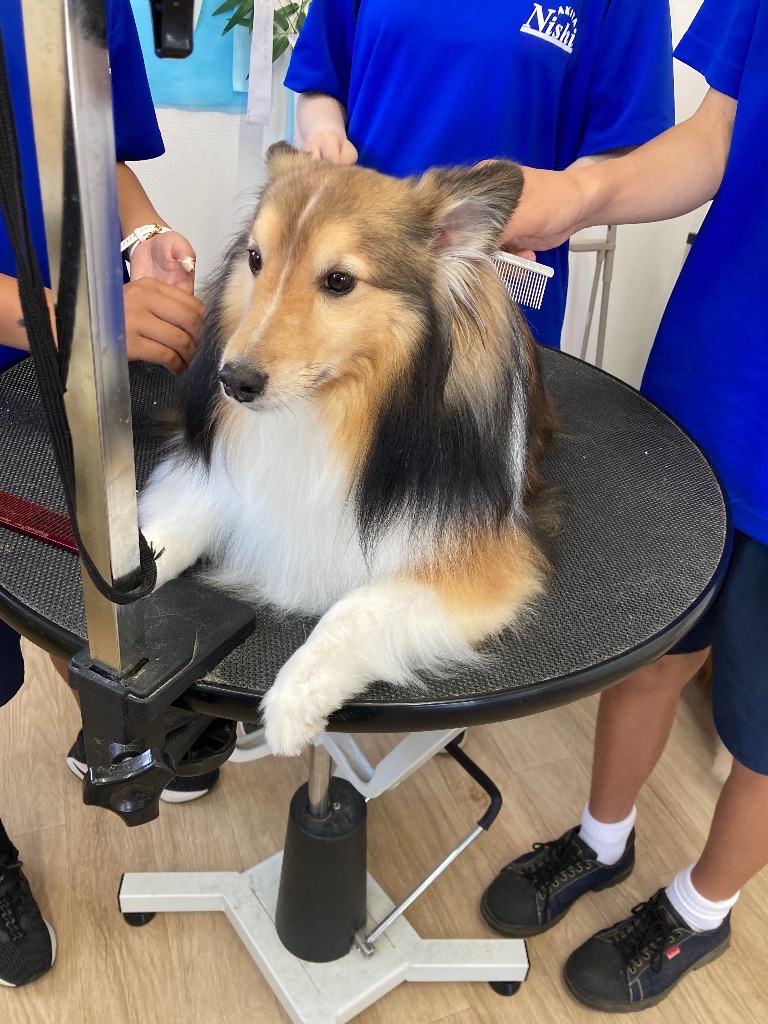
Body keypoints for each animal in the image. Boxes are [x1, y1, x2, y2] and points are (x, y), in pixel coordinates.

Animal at [139, 142, 557, 756]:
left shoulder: (480, 559)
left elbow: (352, 609)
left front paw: (293, 699)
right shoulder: (223, 480)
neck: (330, 410)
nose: (233, 381)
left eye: (339, 281)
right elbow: (163, 536)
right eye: (256, 259)